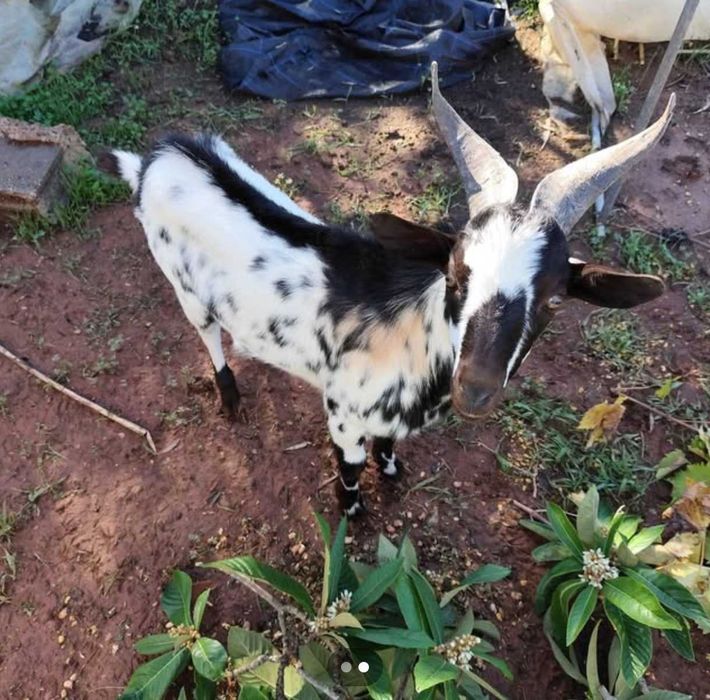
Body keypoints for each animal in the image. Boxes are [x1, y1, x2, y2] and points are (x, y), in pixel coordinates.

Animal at [101, 63, 672, 517]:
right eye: (455, 275)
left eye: (555, 300)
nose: (476, 390)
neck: (412, 342)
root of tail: (155, 160)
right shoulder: (341, 411)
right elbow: (350, 467)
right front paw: (353, 511)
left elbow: (388, 447)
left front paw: (393, 472)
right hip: (185, 289)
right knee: (208, 337)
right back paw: (230, 395)